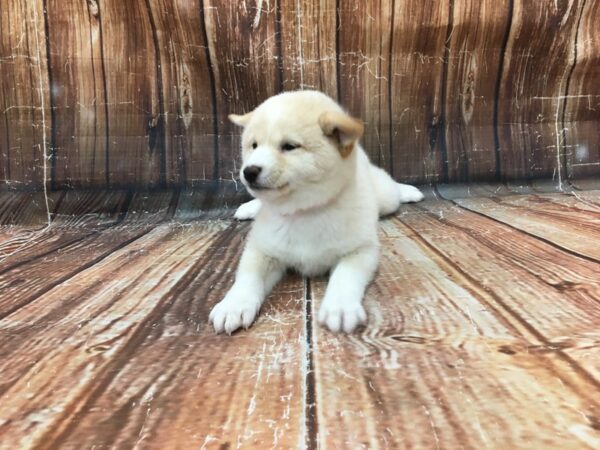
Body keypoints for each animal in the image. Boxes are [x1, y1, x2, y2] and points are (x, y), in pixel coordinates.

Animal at [209, 90, 424, 334]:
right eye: (253, 145)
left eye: (289, 146)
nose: (249, 171)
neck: (303, 212)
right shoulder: (263, 249)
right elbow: (247, 276)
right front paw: (233, 305)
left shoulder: (361, 250)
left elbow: (345, 275)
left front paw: (340, 307)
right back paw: (249, 207)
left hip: (385, 197)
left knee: (391, 190)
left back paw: (408, 191)